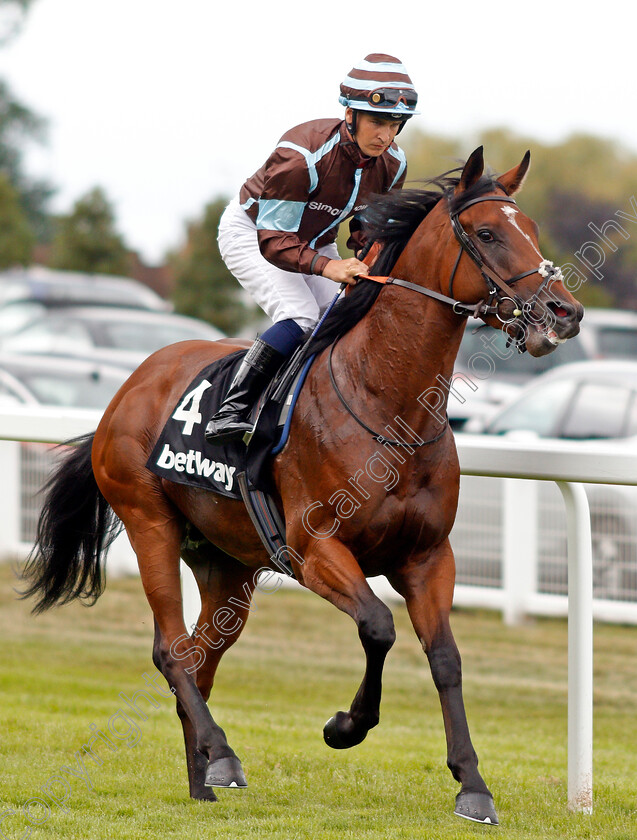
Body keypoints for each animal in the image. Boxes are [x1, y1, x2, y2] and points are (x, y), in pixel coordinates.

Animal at [22, 148, 580, 824]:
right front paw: (346, 726)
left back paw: (204, 777)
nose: (566, 312)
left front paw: (472, 784)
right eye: (489, 233)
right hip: (148, 520)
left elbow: (445, 658)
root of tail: (130, 385)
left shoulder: (427, 557)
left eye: (532, 229)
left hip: (226, 564)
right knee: (171, 649)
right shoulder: (316, 550)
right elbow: (378, 626)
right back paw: (222, 753)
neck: (387, 403)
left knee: (201, 659)